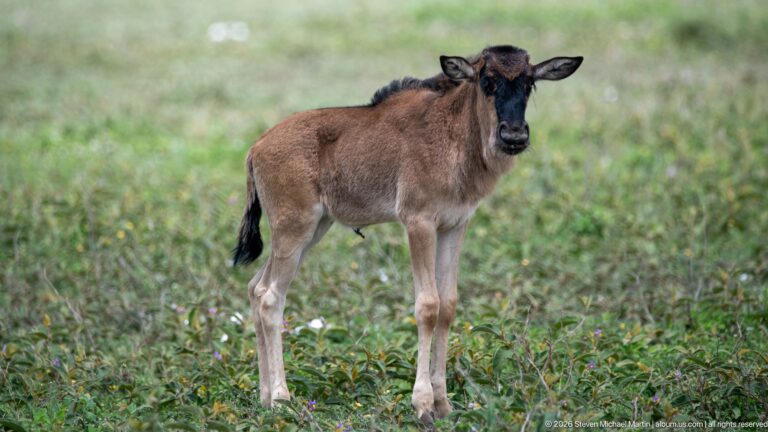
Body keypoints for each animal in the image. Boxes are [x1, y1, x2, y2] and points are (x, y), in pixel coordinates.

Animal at [233, 45, 582, 424]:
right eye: (486, 80)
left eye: (530, 84)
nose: (514, 136)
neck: (454, 134)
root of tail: (256, 147)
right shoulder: (418, 221)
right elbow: (427, 305)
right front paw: (423, 405)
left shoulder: (455, 225)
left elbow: (448, 305)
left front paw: (444, 404)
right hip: (294, 227)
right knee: (270, 296)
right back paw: (282, 399)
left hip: (312, 229)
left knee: (255, 288)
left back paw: (265, 398)